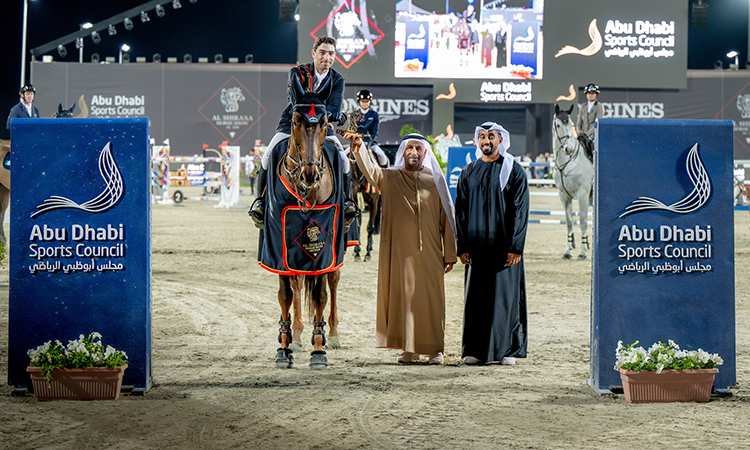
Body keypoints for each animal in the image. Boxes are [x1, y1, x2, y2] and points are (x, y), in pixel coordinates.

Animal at [276, 110, 344, 368]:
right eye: (295, 122)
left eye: (325, 124)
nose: (310, 175)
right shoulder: (278, 247)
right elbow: (287, 294)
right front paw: (287, 345)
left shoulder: (326, 249)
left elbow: (320, 296)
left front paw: (318, 350)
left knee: (333, 282)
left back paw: (332, 334)